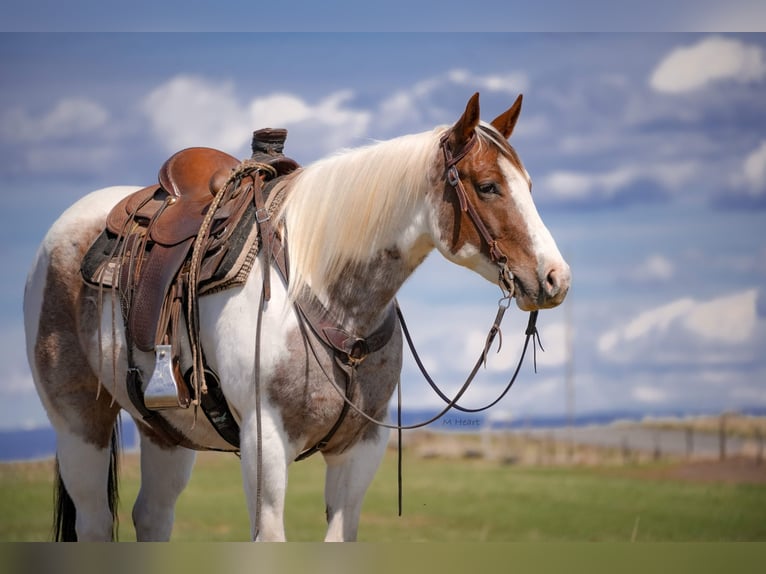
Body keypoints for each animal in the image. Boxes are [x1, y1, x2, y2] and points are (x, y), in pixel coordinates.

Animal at [23, 92, 570, 541]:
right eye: (488, 186)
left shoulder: (360, 449)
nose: (555, 279)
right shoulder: (264, 446)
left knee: (152, 517)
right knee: (95, 522)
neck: (323, 293)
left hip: (166, 433)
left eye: (528, 184)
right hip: (78, 423)